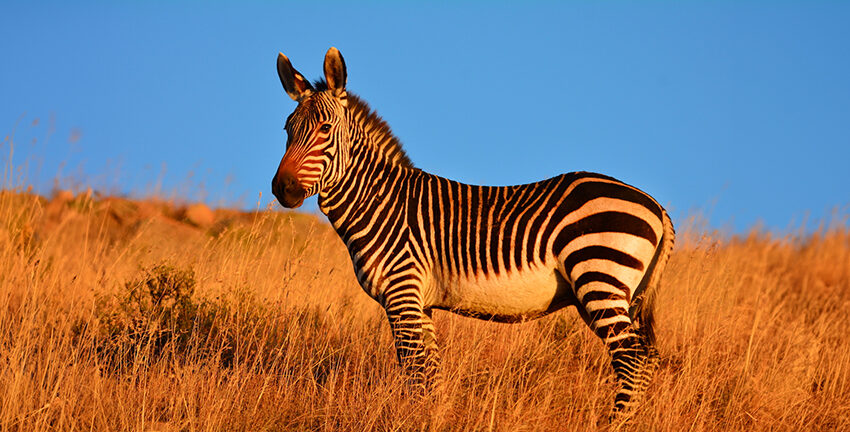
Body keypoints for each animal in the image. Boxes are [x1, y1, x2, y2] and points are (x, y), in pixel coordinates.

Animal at [268, 48, 672, 422]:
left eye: (324, 129)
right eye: (287, 130)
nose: (282, 189)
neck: (379, 201)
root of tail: (657, 206)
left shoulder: (402, 294)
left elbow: (414, 370)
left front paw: (415, 418)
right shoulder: (421, 303)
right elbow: (429, 374)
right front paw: (431, 416)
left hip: (598, 275)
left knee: (632, 358)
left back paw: (617, 423)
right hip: (614, 292)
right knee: (646, 357)